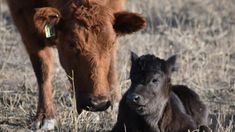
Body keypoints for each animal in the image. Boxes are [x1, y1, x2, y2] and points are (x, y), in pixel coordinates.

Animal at [6, 0, 146, 130]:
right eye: (72, 44)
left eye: (111, 43)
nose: (99, 103)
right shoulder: (25, 21)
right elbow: (42, 69)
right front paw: (45, 117)